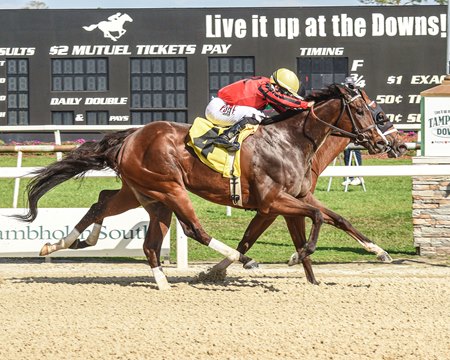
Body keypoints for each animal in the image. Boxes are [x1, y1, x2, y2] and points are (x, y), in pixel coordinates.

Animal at [19, 83, 388, 290]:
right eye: (360, 109)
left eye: (374, 111)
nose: (381, 142)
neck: (290, 140)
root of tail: (131, 136)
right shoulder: (272, 201)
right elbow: (317, 218)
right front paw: (299, 256)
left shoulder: (294, 197)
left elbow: (334, 218)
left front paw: (374, 252)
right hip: (169, 188)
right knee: (193, 229)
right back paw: (241, 261)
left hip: (144, 193)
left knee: (109, 206)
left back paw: (64, 245)